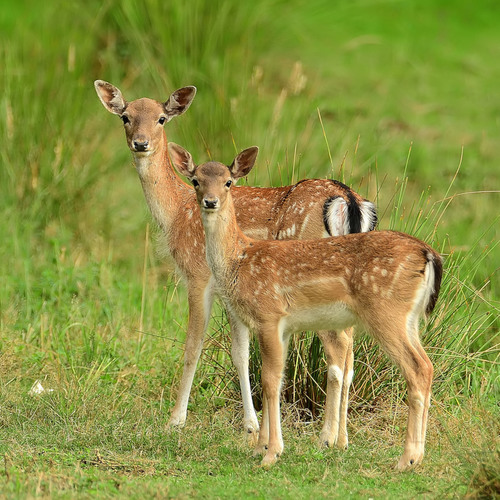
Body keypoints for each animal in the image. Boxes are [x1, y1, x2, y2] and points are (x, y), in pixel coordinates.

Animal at [93, 80, 376, 448]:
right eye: (125, 116)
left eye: (161, 118)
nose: (140, 143)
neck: (175, 213)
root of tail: (350, 201)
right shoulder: (232, 290)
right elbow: (240, 352)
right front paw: (251, 425)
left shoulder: (198, 275)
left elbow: (193, 346)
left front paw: (175, 420)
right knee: (351, 351)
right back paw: (342, 438)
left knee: (338, 351)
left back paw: (327, 437)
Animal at [170, 143, 444, 470]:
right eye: (196, 180)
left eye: (228, 182)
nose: (210, 202)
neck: (239, 258)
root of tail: (428, 254)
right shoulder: (283, 327)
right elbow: (276, 377)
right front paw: (260, 447)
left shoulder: (269, 314)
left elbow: (270, 380)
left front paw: (271, 453)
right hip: (409, 319)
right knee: (426, 365)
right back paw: (414, 455)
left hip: (386, 312)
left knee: (417, 369)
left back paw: (406, 459)